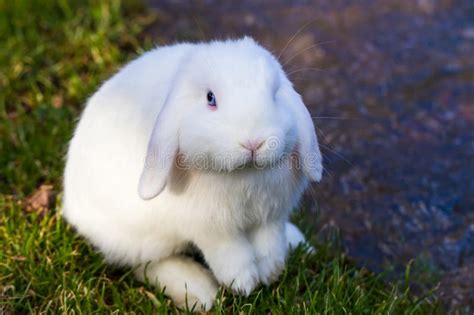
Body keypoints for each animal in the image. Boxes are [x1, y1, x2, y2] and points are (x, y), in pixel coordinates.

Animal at [63, 37, 322, 312]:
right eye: (210, 98)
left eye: (274, 94)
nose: (253, 142)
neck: (244, 174)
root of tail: (71, 206)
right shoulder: (210, 227)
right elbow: (230, 252)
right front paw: (243, 283)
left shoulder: (271, 216)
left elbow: (269, 244)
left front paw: (271, 272)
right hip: (142, 237)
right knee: (146, 264)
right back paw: (200, 292)